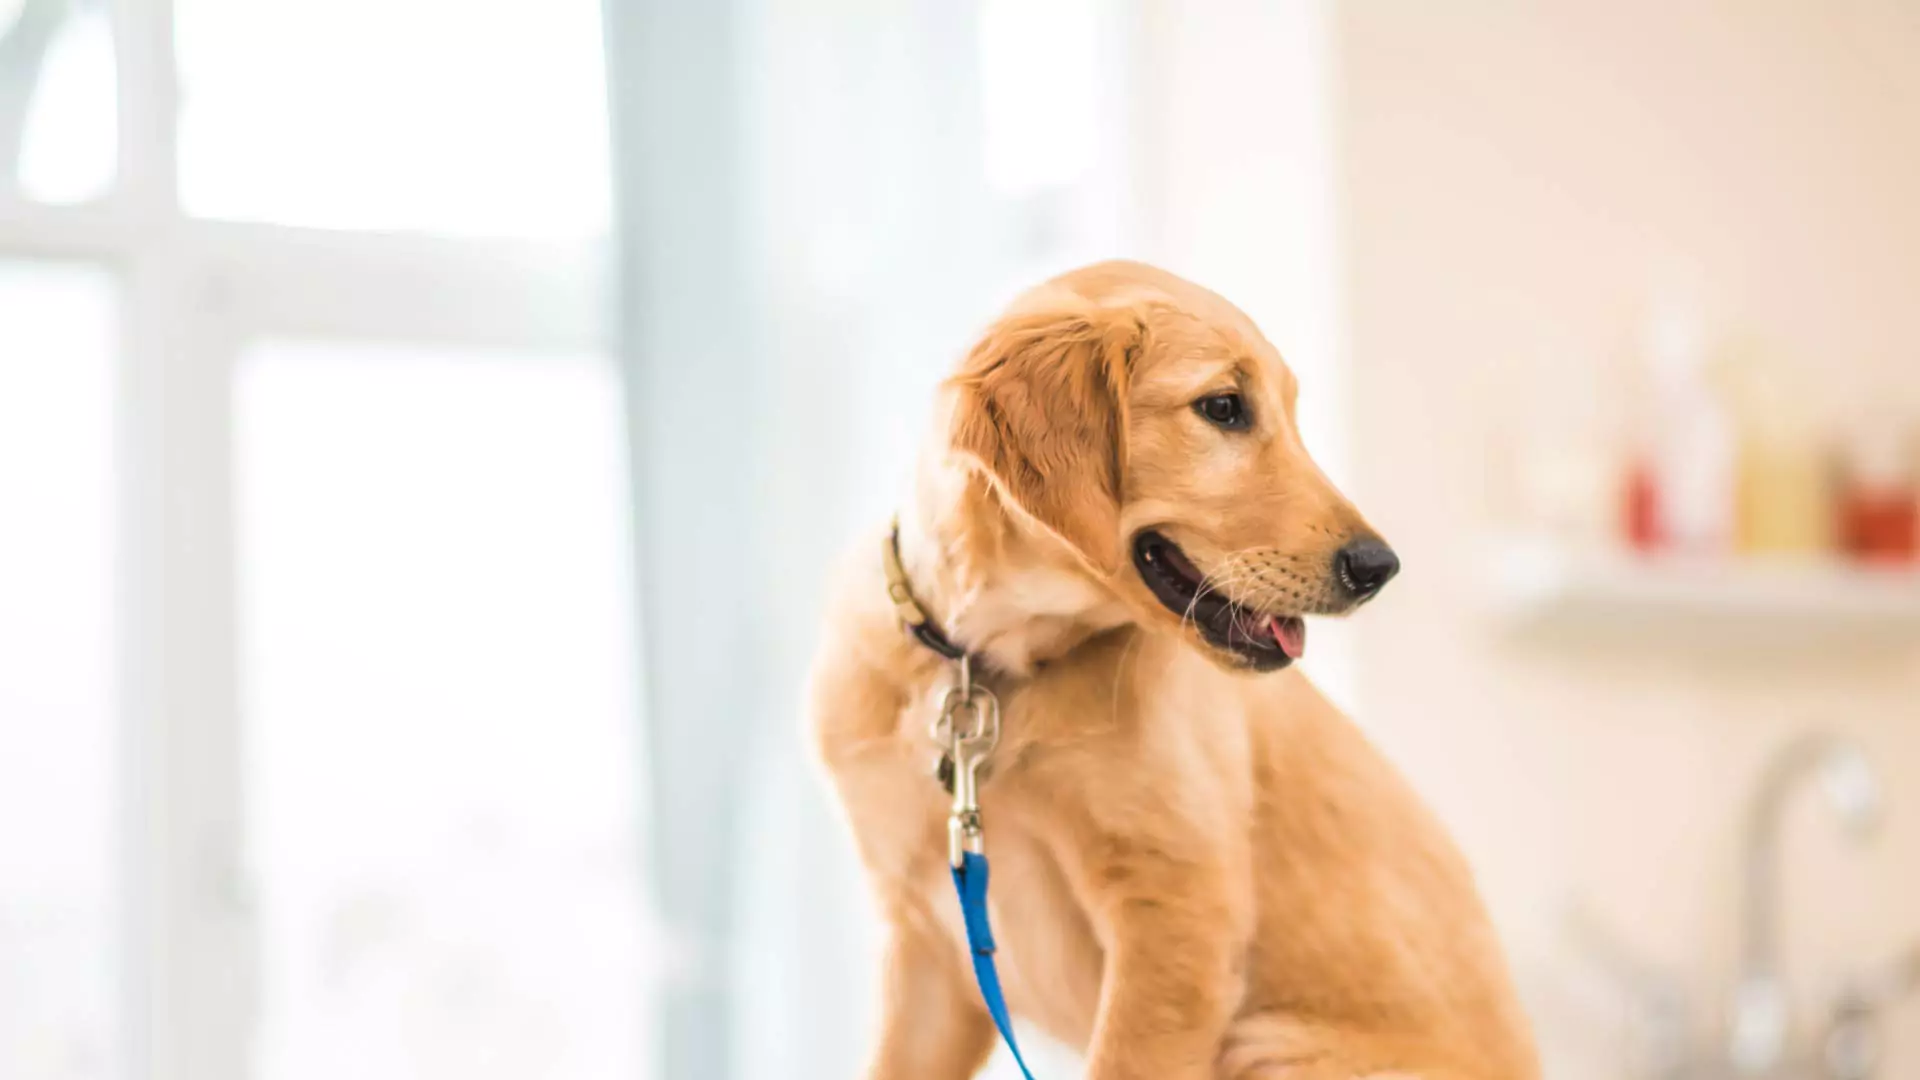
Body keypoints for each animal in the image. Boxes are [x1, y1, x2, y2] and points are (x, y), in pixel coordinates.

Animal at [802, 261, 1536, 1076]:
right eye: (1223, 408)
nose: (1379, 567)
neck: (992, 663)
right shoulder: (927, 940)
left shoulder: (1177, 920)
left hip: (1268, 1041)